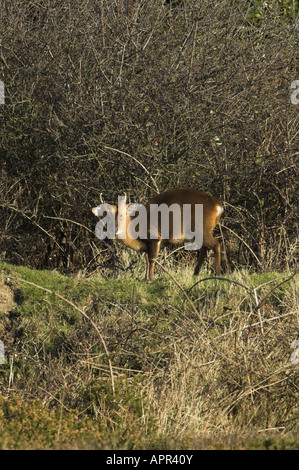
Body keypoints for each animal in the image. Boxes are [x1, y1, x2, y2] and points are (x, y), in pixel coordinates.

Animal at [92, 188, 224, 282]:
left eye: (121, 215)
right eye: (105, 216)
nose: (115, 229)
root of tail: (219, 207)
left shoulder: (155, 237)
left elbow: (152, 259)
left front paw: (150, 279)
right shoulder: (146, 245)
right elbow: (146, 260)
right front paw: (145, 278)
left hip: (202, 228)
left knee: (216, 244)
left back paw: (217, 274)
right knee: (205, 248)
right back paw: (195, 274)